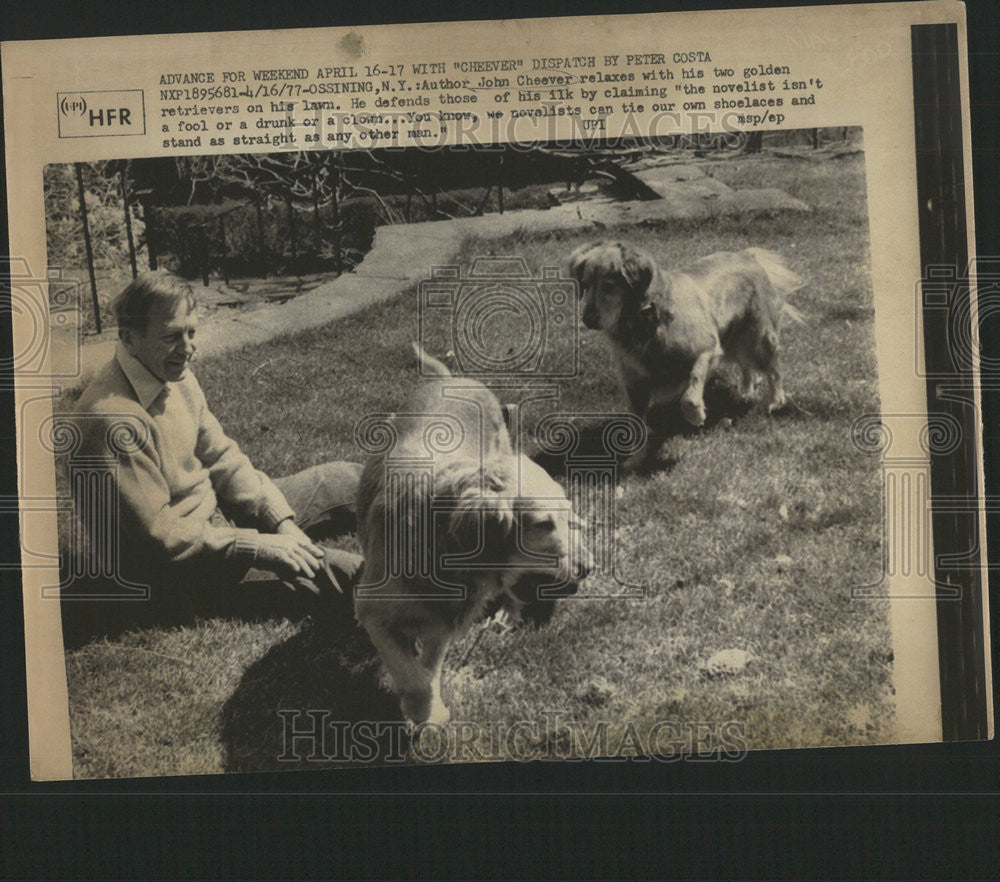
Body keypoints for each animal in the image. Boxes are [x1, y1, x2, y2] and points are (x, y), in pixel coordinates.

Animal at [356, 344, 592, 720]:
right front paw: (424, 710)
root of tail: (454, 378)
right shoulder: (373, 612)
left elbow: (429, 668)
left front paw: (428, 709)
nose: (587, 568)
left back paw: (506, 612)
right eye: (543, 524)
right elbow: (412, 675)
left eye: (564, 518)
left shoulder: (443, 623)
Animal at [572, 242, 804, 440]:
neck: (646, 320)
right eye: (585, 285)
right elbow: (635, 421)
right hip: (734, 340)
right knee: (745, 365)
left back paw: (775, 401)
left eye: (609, 285)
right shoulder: (634, 381)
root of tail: (747, 255)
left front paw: (695, 415)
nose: (587, 319)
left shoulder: (707, 349)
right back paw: (747, 391)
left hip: (758, 338)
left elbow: (690, 390)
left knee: (773, 370)